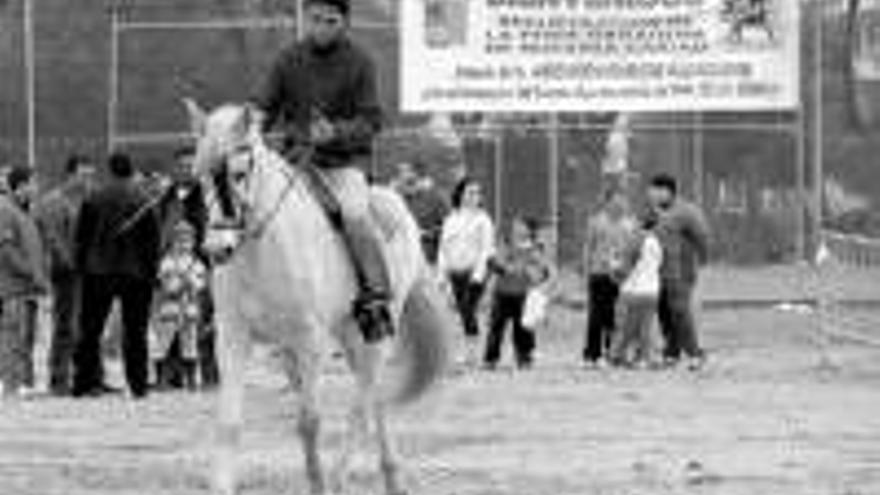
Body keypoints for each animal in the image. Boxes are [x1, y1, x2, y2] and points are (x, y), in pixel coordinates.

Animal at [187, 101, 454, 495]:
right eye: (200, 177)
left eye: (239, 173)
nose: (217, 249)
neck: (261, 251)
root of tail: (398, 205)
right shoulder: (234, 337)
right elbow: (230, 422)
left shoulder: (310, 341)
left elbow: (309, 422)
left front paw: (319, 484)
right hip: (345, 335)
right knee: (375, 399)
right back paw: (391, 477)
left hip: (374, 336)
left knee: (362, 405)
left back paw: (341, 479)